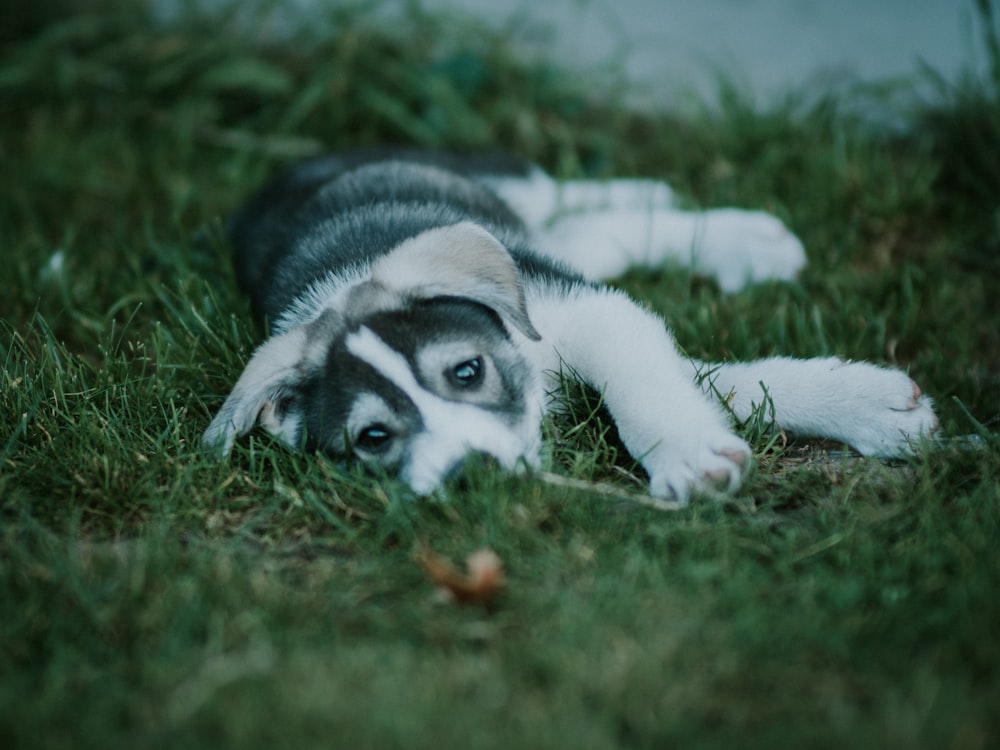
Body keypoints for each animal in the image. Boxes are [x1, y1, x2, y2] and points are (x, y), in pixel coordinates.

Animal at [201, 150, 936, 502]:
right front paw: (874, 409)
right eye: (373, 437)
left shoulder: (584, 311)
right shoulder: (585, 307)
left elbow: (653, 390)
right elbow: (716, 381)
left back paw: (700, 214)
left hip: (508, 193)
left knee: (564, 191)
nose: (472, 476)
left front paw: (686, 456)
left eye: (467, 371)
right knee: (600, 229)